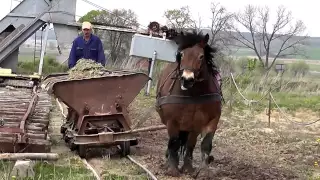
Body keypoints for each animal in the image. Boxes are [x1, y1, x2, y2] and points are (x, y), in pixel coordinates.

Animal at [155, 29, 222, 177]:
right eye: (182, 54)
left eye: (201, 56)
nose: (187, 79)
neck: (193, 94)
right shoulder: (172, 121)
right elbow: (174, 142)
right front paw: (172, 169)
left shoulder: (208, 121)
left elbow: (203, 144)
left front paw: (199, 170)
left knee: (188, 142)